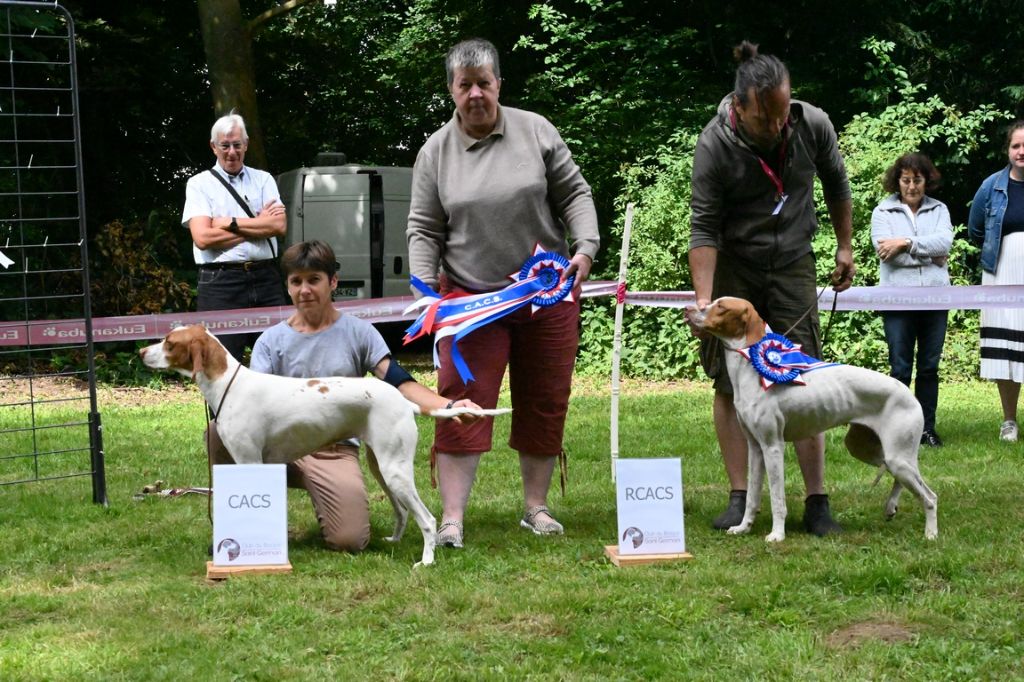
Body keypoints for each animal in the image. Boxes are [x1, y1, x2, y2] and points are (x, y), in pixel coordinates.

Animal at [142, 323, 509, 561]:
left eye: (169, 342)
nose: (142, 350)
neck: (228, 385)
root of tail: (406, 402)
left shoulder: (249, 461)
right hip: (382, 467)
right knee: (403, 511)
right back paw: (394, 539)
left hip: (395, 470)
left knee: (428, 520)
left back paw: (427, 561)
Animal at [684, 296, 937, 540]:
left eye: (722, 307)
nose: (688, 309)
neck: (751, 371)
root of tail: (909, 393)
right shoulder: (756, 448)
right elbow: (752, 497)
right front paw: (743, 528)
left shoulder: (773, 447)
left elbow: (777, 498)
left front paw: (777, 535)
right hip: (868, 450)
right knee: (899, 476)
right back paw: (891, 506)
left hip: (898, 457)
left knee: (930, 497)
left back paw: (931, 535)